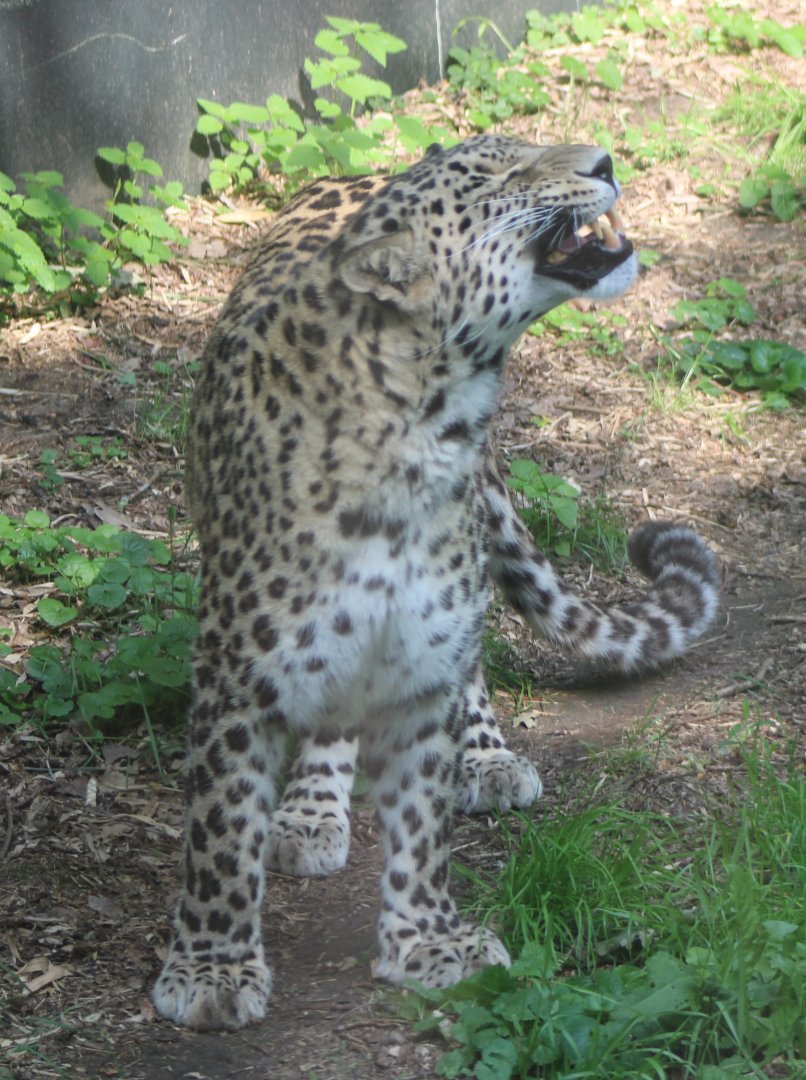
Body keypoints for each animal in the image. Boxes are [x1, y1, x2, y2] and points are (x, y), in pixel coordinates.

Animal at [153, 135, 719, 1031]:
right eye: (498, 178)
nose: (601, 159)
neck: (430, 423)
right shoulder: (238, 676)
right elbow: (220, 829)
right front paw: (210, 967)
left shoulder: (424, 666)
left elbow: (424, 829)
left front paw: (429, 939)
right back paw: (311, 806)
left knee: (471, 666)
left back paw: (485, 759)